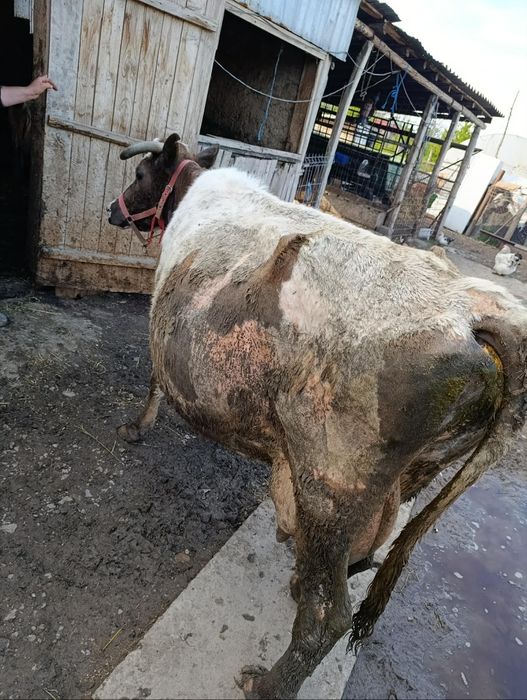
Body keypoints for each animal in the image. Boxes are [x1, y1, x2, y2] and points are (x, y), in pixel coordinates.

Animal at [108, 134, 527, 699]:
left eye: (140, 176)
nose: (113, 210)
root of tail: (473, 315)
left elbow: (154, 378)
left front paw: (137, 427)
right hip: (410, 477)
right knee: (365, 555)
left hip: (330, 484)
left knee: (329, 616)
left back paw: (266, 684)